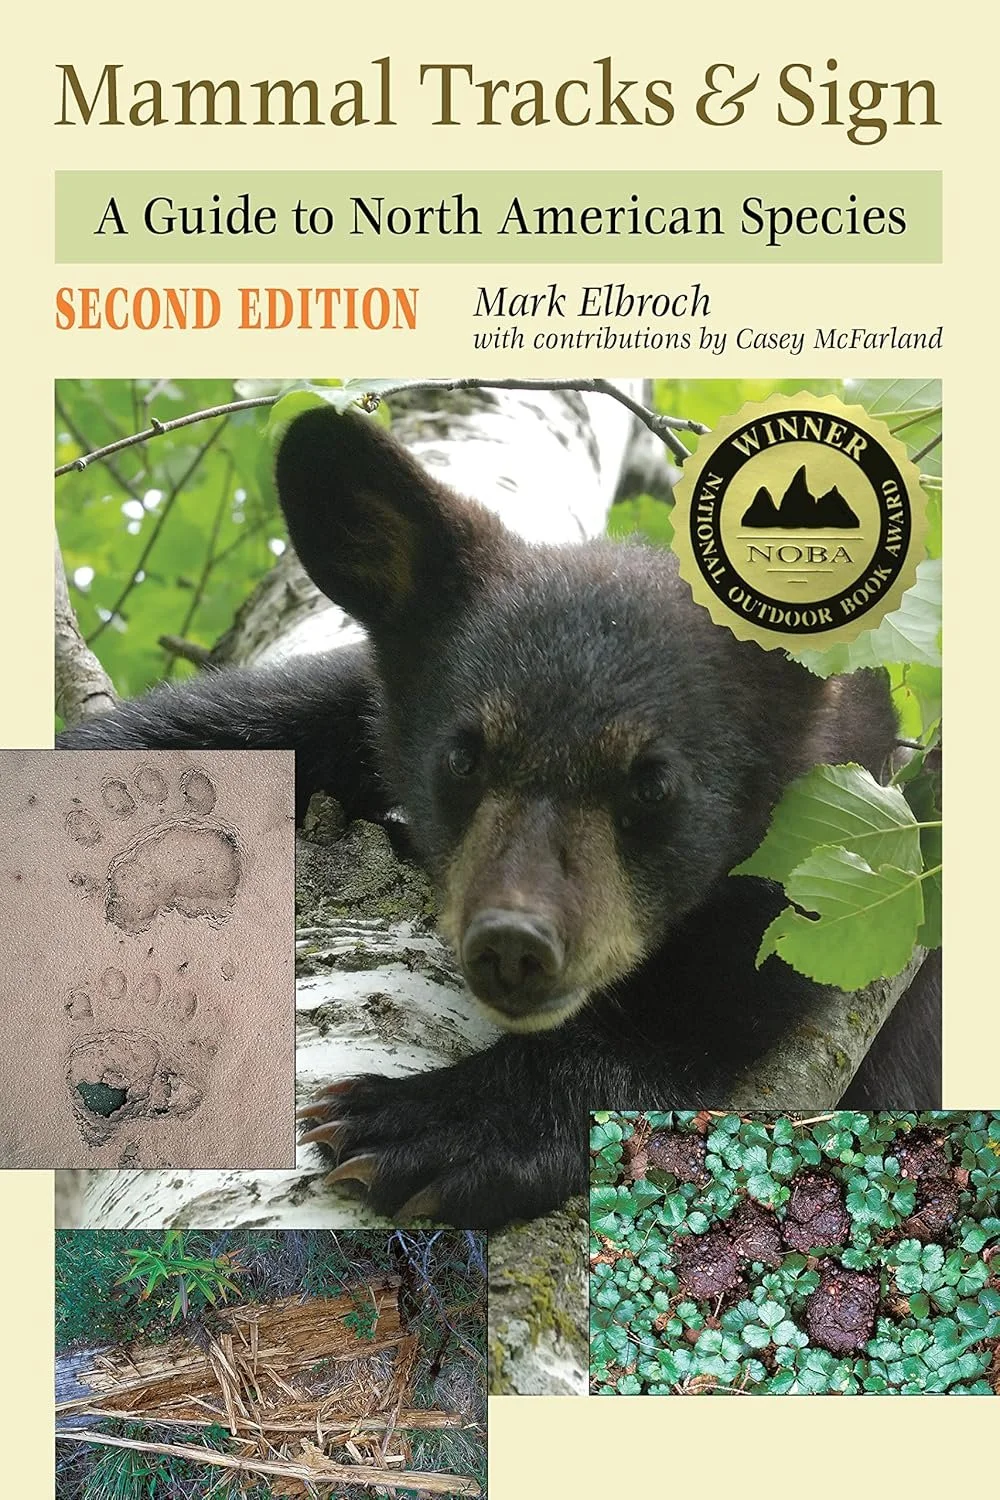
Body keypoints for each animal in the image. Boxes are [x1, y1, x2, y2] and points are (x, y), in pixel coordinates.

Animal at [58, 404, 940, 1227]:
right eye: (463, 756)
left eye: (654, 785)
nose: (516, 943)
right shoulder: (360, 704)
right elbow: (242, 723)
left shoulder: (826, 857)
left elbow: (715, 1001)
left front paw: (437, 1122)